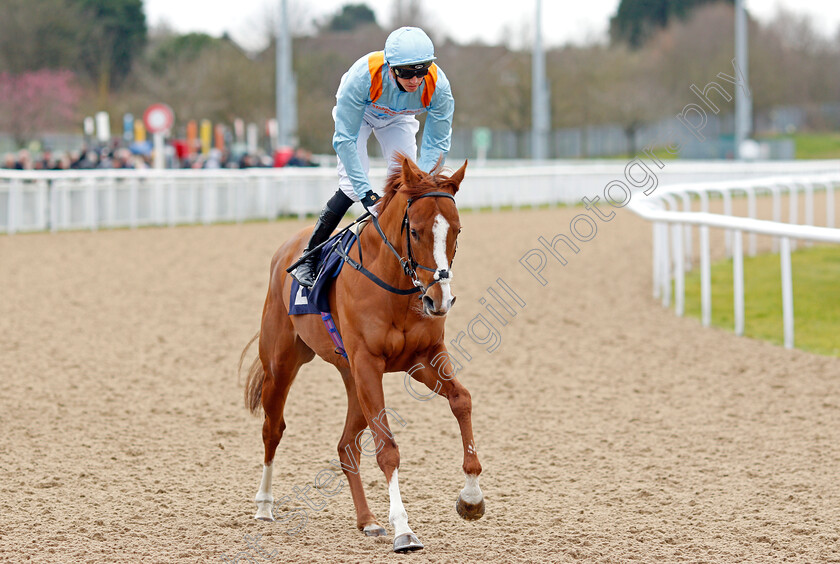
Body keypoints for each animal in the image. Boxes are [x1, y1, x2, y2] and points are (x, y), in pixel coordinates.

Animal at [238, 156, 486, 552]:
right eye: (416, 232)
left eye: (457, 231)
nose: (440, 299)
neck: (396, 288)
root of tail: (287, 248)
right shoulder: (369, 363)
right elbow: (387, 447)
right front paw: (403, 528)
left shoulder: (423, 357)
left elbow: (462, 399)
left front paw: (472, 497)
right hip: (282, 364)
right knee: (272, 428)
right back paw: (264, 505)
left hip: (352, 378)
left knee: (345, 446)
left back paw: (367, 520)